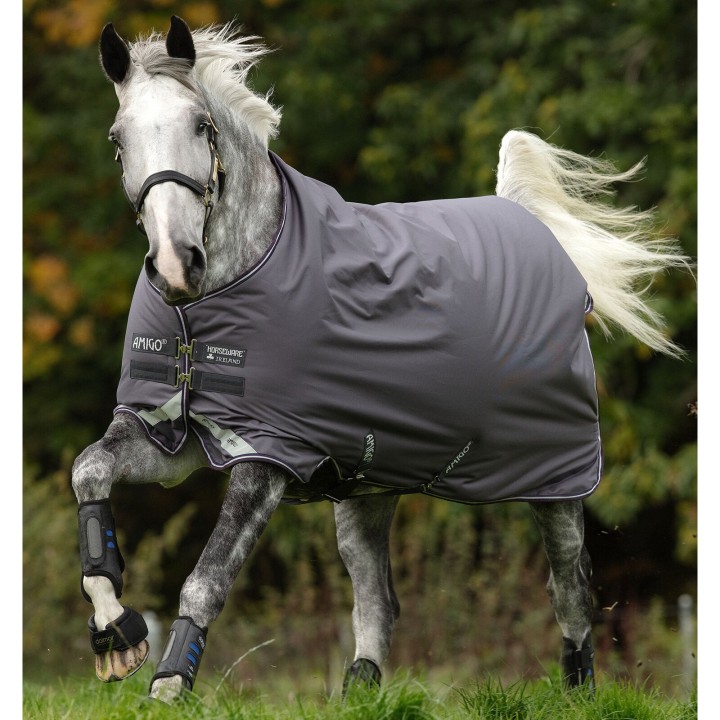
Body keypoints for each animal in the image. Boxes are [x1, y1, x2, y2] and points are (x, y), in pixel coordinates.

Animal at [72, 16, 688, 704]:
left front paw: (167, 684)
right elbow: (88, 470)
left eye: (201, 125)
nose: (177, 264)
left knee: (571, 591)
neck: (215, 303)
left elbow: (207, 576)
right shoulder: (172, 435)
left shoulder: (269, 455)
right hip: (368, 489)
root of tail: (529, 220)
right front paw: (117, 637)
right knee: (377, 604)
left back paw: (578, 689)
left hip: (556, 480)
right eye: (118, 140)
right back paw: (359, 689)